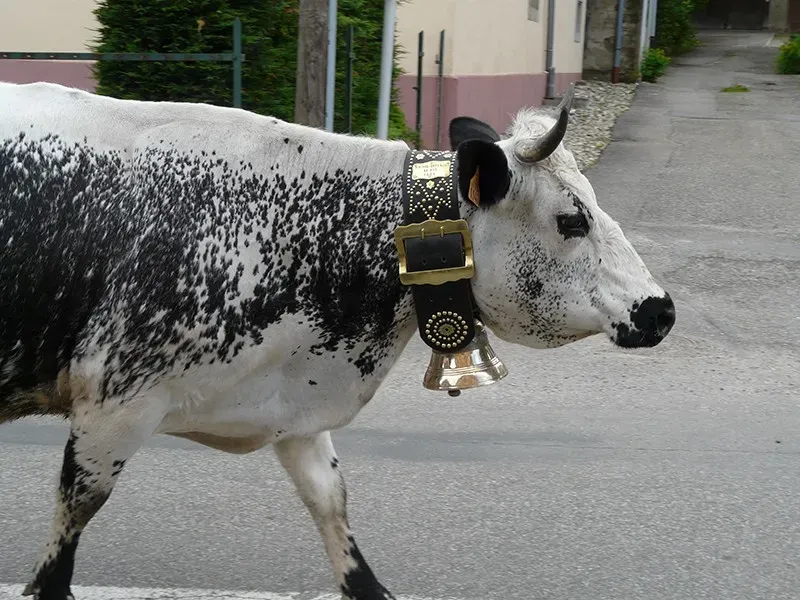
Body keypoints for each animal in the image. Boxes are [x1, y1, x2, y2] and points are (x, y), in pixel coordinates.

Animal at [0, 80, 675, 600]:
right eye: (573, 219)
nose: (661, 309)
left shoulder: (294, 412)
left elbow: (335, 512)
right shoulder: (114, 408)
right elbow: (62, 551)